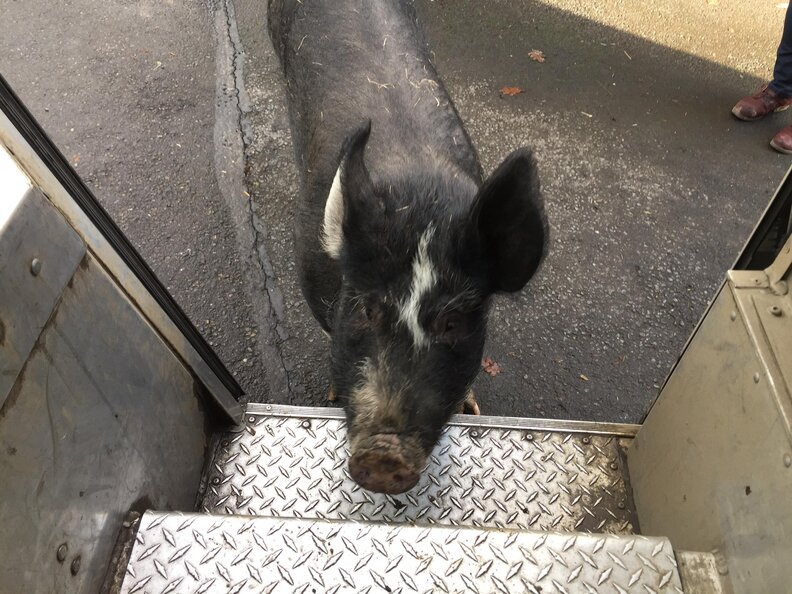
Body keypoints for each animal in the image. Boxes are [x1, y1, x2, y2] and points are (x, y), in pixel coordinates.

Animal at [268, 0, 547, 494]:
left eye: (453, 322)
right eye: (366, 309)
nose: (384, 455)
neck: (421, 199)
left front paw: (472, 410)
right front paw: (331, 395)